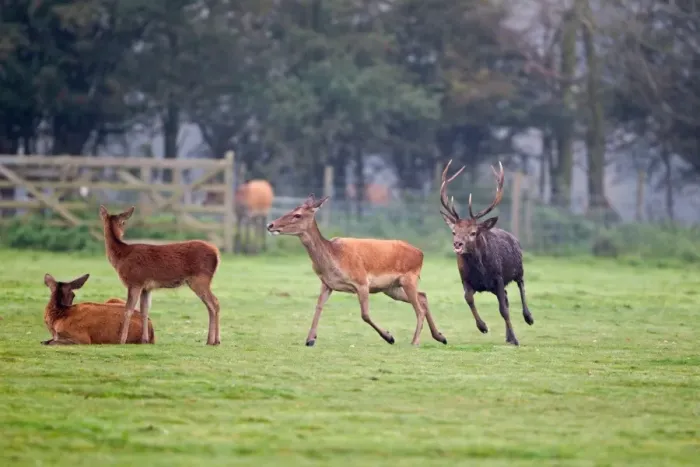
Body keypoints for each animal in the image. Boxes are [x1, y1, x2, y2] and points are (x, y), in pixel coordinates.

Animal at [99, 205, 221, 345]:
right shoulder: (146, 287)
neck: (121, 257)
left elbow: (128, 309)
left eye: (123, 222)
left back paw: (214, 340)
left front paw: (122, 340)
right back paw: (212, 340)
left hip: (200, 279)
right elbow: (144, 310)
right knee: (212, 305)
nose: (122, 232)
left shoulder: (135, 281)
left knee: (214, 303)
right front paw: (144, 339)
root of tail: (216, 253)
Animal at [266, 194, 447, 347]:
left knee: (419, 308)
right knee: (423, 296)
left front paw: (389, 337)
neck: (334, 258)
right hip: (391, 288)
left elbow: (364, 314)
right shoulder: (327, 284)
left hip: (409, 278)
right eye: (292, 209)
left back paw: (415, 341)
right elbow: (318, 307)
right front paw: (310, 339)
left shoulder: (361, 281)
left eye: (298, 215)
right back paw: (440, 336)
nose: (270, 225)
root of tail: (421, 253)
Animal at [438, 160, 534, 346]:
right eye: (454, 231)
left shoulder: (498, 277)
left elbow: (503, 309)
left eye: (473, 232)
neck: (480, 272)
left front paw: (515, 339)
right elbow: (468, 298)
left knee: (521, 286)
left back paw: (528, 318)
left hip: (518, 269)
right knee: (507, 297)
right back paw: (507, 336)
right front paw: (483, 327)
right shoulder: (466, 279)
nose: (457, 244)